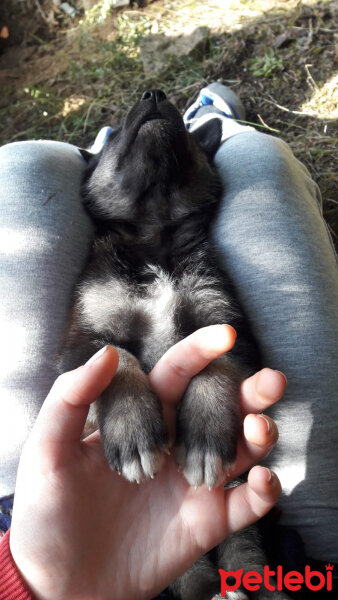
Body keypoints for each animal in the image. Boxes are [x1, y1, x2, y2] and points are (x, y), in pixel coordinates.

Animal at [58, 90, 288, 600]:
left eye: (188, 134)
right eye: (112, 140)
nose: (154, 95)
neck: (153, 241)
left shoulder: (227, 324)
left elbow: (212, 363)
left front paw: (203, 435)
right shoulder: (82, 340)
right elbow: (119, 359)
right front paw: (133, 432)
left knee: (246, 545)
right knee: (188, 573)